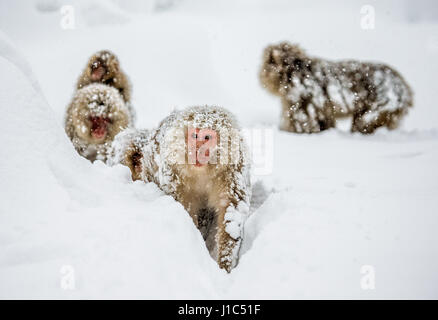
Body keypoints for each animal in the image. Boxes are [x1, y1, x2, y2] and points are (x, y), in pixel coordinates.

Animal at [109, 106, 252, 272]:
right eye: (195, 136)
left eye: (207, 137)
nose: (198, 150)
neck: (203, 171)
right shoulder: (173, 169)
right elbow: (183, 207)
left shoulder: (233, 168)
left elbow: (232, 214)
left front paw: (225, 263)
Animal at [260, 41, 414, 134]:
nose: (261, 75)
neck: (293, 72)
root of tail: (405, 88)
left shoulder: (300, 99)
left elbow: (305, 123)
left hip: (383, 105)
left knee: (364, 121)